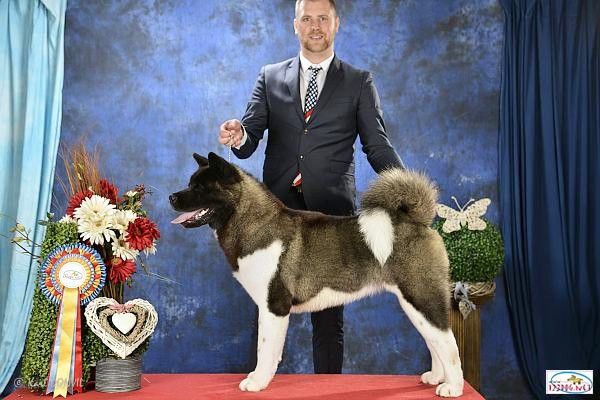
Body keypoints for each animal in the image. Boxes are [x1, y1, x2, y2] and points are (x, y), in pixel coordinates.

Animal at [169, 151, 464, 396]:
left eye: (200, 187)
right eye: (190, 183)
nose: (172, 197)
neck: (252, 222)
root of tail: (418, 221)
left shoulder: (274, 306)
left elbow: (266, 349)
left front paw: (257, 382)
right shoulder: (266, 308)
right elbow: (265, 347)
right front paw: (257, 378)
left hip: (422, 296)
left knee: (448, 343)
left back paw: (453, 388)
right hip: (413, 303)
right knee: (434, 341)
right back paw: (435, 377)